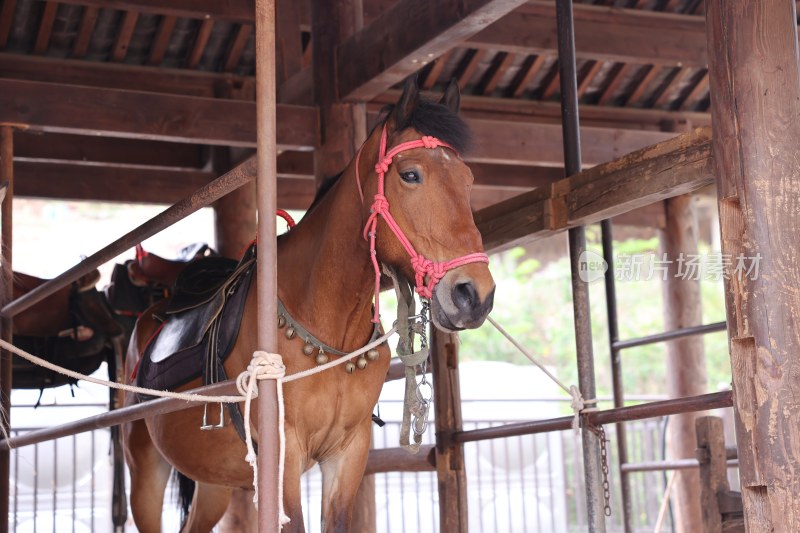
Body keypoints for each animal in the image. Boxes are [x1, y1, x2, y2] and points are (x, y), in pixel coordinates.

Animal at [122, 77, 494, 528]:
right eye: (410, 174)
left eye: (468, 179)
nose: (474, 295)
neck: (329, 330)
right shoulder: (284, 454)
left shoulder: (348, 454)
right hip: (144, 470)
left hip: (213, 482)